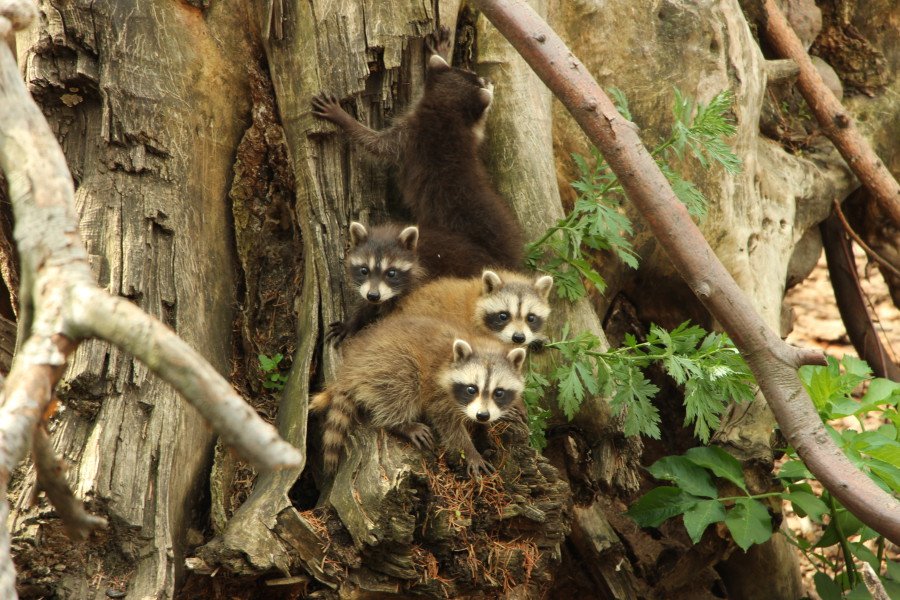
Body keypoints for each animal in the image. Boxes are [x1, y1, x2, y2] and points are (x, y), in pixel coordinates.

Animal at [308, 314, 524, 478]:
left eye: (499, 393)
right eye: (472, 389)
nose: (482, 416)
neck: (480, 346)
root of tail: (350, 367)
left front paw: (491, 424)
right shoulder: (439, 392)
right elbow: (448, 424)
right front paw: (470, 451)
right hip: (383, 362)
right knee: (404, 379)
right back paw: (401, 423)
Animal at [312, 27, 524, 280]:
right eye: (476, 77)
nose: (491, 80)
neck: (444, 113)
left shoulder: (408, 137)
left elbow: (374, 144)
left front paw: (344, 119)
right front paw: (440, 52)